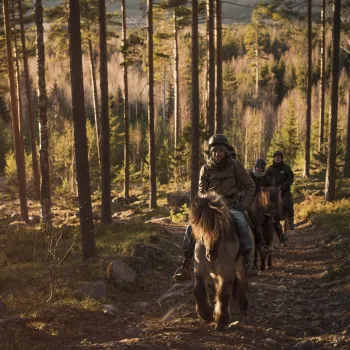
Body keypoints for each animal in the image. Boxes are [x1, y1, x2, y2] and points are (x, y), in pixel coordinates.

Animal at [190, 194, 253, 330]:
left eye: (221, 227)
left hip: (241, 267)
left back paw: (243, 306)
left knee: (242, 282)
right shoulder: (200, 268)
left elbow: (223, 294)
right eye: (201, 227)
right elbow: (199, 290)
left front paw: (222, 320)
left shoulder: (227, 271)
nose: (211, 254)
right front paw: (206, 314)